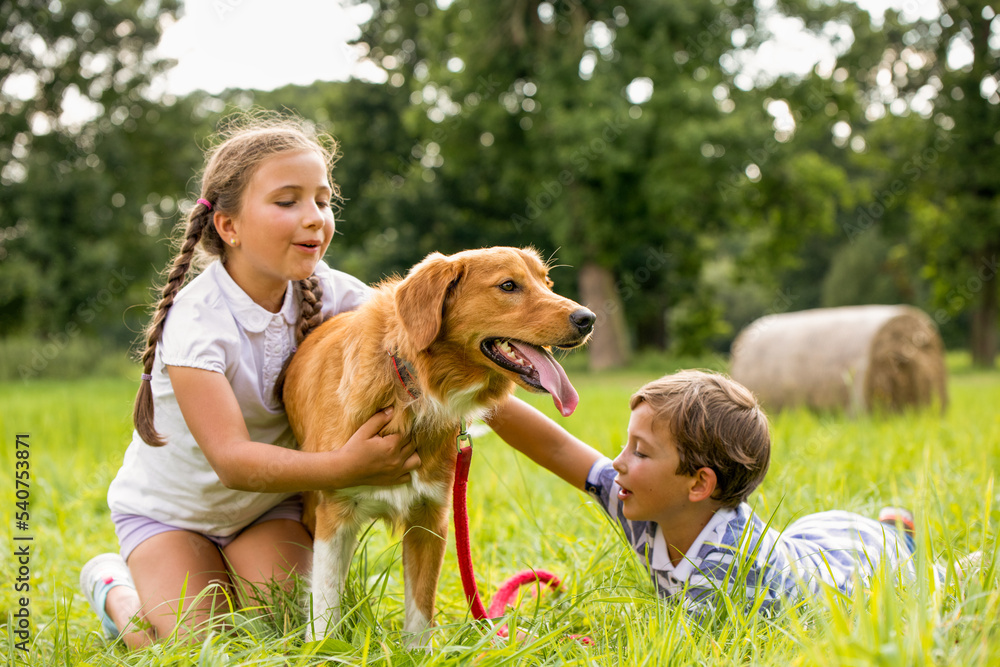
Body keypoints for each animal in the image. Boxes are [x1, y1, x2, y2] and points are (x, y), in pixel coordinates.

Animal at [282, 248, 592, 644]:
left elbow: (419, 609)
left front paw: (415, 652)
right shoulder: (333, 514)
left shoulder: (430, 518)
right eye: (509, 286)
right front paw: (322, 649)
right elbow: (324, 603)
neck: (412, 389)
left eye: (546, 283)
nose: (588, 318)